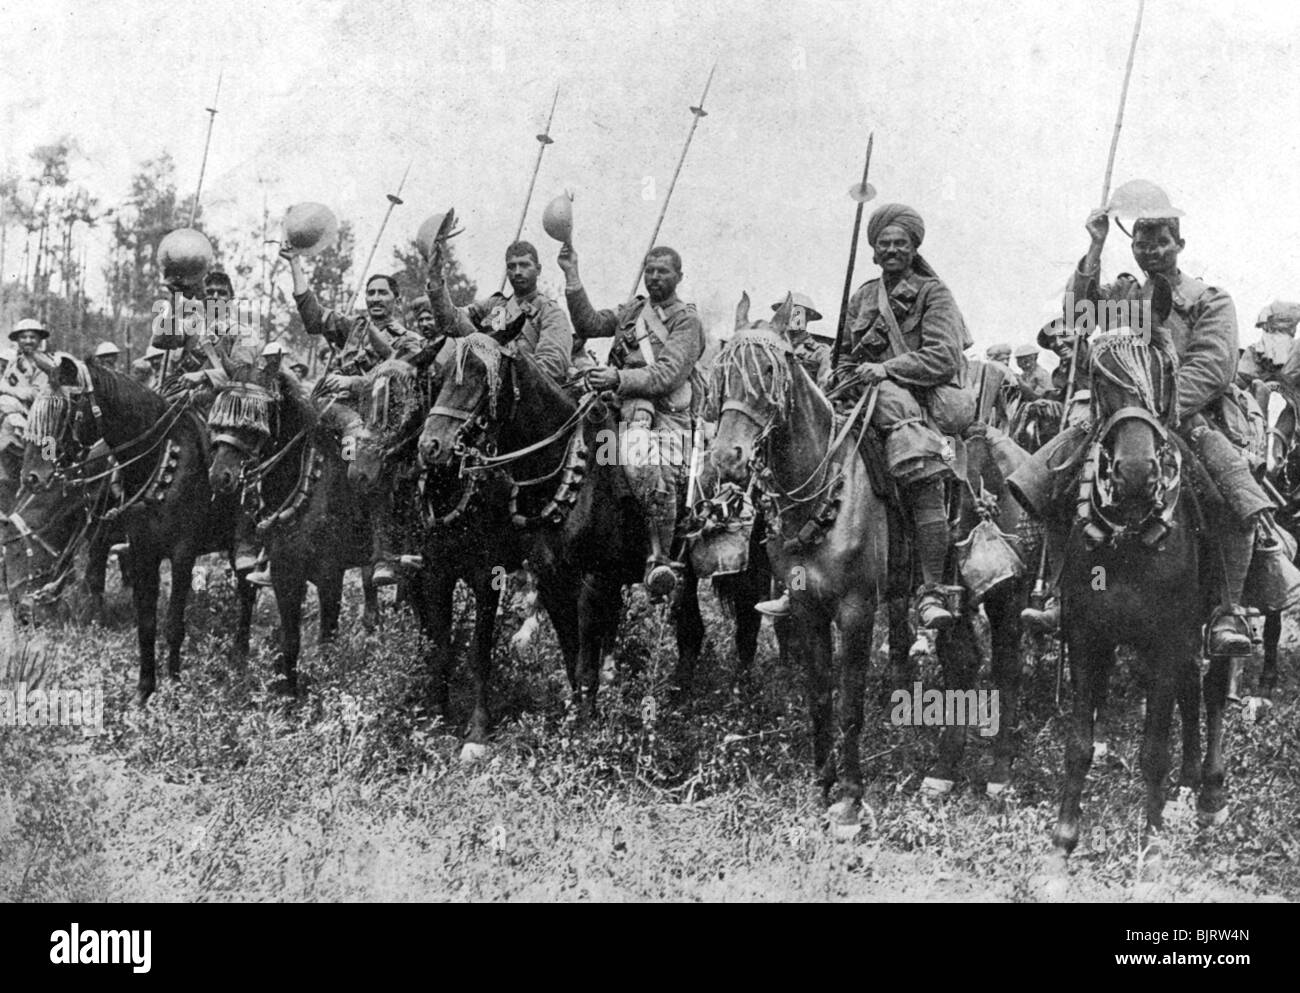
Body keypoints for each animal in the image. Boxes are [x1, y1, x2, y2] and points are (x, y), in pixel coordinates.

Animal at [20, 353, 252, 701]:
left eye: (64, 409)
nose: (31, 477)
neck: (160, 461)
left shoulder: (182, 555)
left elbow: (173, 624)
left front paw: (175, 685)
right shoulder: (143, 552)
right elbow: (146, 623)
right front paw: (145, 690)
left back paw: (241, 654)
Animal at [204, 361, 377, 696]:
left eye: (254, 423)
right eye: (219, 419)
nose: (220, 476)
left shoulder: (330, 575)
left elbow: (327, 641)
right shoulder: (286, 574)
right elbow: (290, 641)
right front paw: (288, 694)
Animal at [707, 292, 889, 831]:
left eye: (768, 370)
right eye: (722, 372)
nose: (725, 458)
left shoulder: (856, 611)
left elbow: (850, 703)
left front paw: (850, 799)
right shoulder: (809, 610)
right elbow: (820, 696)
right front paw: (822, 785)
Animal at [1045, 310, 1227, 868]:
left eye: (1164, 372)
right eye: (1100, 377)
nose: (1135, 474)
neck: (1126, 540)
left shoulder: (1167, 640)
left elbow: (1153, 749)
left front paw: (1151, 840)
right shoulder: (1087, 639)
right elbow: (1079, 743)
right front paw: (1064, 839)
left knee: (1212, 689)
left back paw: (1209, 792)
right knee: (1191, 690)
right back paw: (1188, 778)